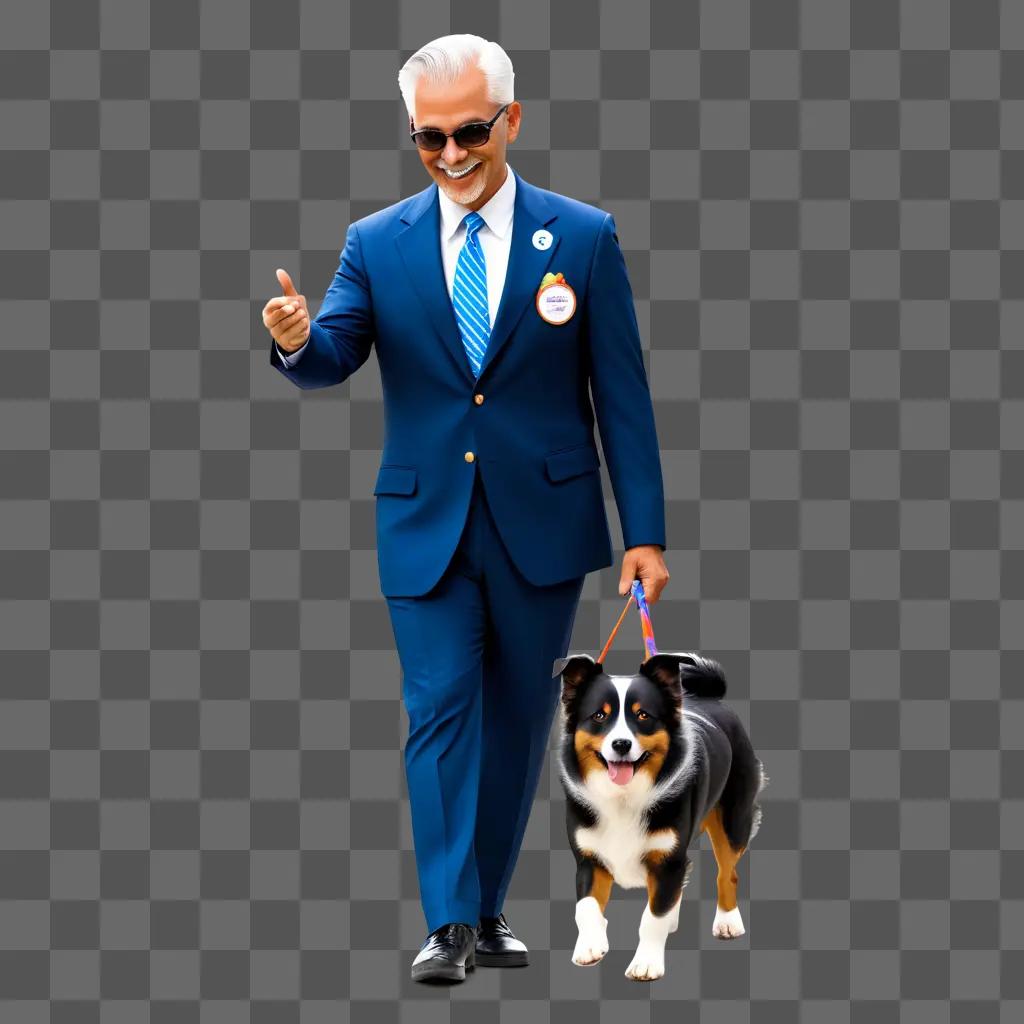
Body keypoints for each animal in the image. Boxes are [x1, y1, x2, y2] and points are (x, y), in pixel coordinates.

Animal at [552, 651, 770, 978]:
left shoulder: (667, 859)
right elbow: (586, 908)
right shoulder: (589, 859)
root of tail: (712, 698)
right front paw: (590, 945)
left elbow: (652, 916)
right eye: (599, 716)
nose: (621, 744)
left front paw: (646, 963)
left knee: (727, 872)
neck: (624, 797)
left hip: (734, 820)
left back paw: (728, 920)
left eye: (643, 715)